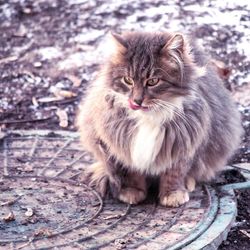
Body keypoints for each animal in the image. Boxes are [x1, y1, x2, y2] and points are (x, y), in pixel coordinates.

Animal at [76, 31, 242, 207]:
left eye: (153, 81)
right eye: (128, 80)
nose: (137, 101)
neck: (148, 117)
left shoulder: (183, 143)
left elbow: (174, 174)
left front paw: (173, 195)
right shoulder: (123, 145)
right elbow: (131, 172)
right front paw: (132, 192)